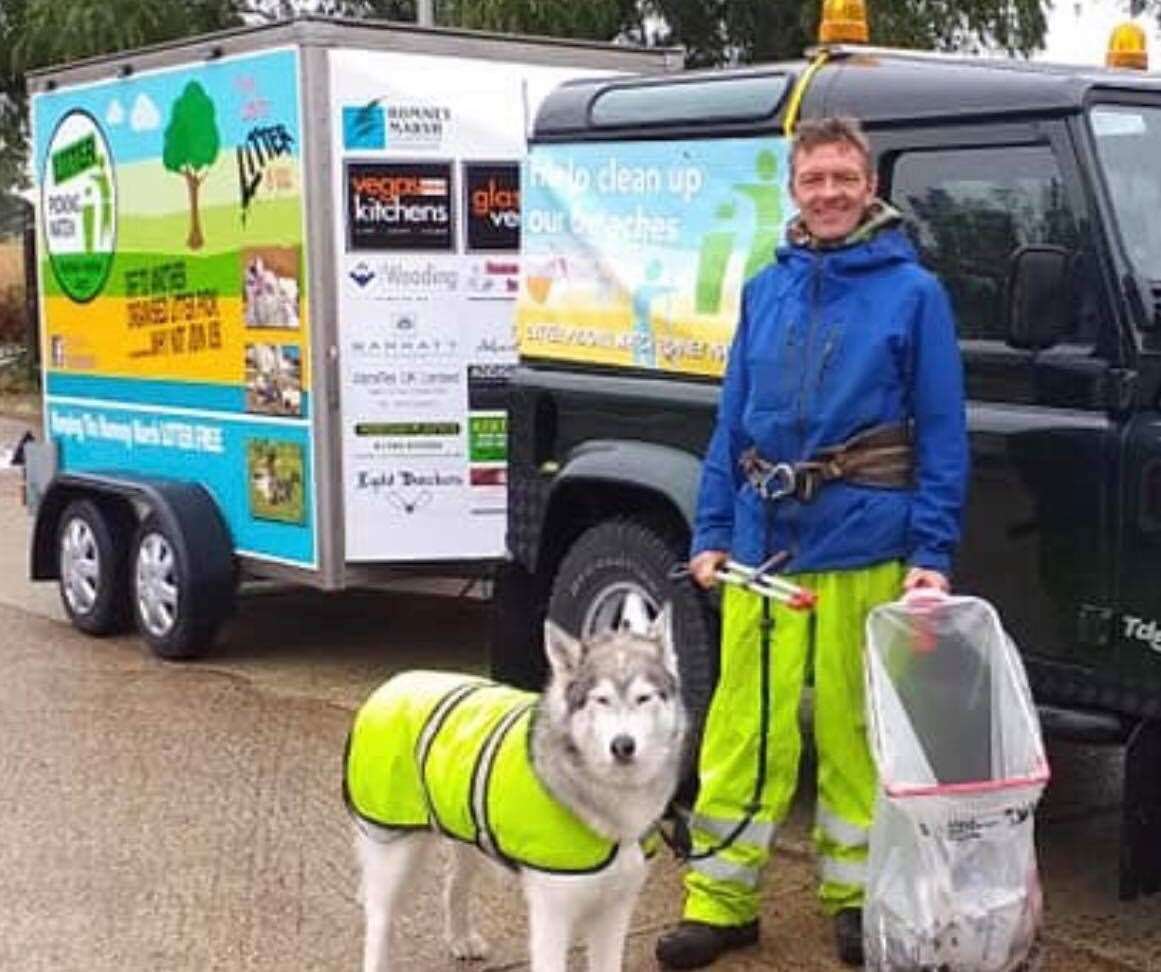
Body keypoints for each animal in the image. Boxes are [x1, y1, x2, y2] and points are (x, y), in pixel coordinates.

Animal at [348, 608, 682, 970]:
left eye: (643, 698)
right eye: (601, 700)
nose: (623, 746)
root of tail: (394, 683)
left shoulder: (614, 911)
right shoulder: (553, 913)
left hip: (466, 834)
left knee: (453, 886)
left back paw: (461, 938)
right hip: (395, 856)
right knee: (380, 921)